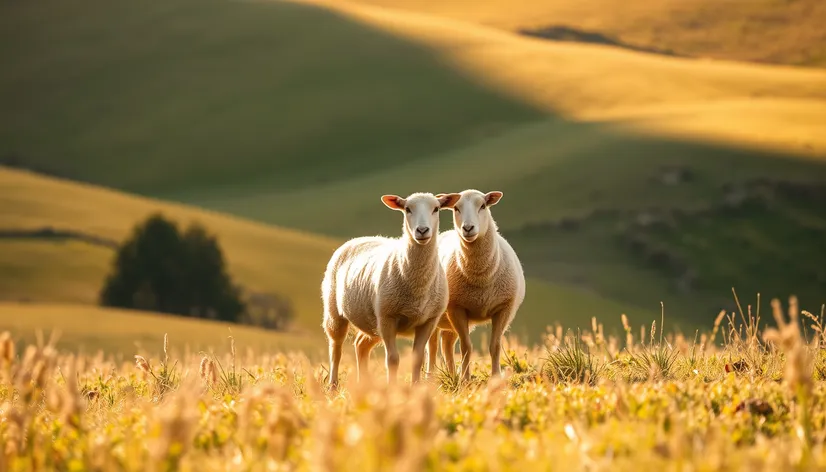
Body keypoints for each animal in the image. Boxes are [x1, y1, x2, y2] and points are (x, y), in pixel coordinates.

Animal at [322, 192, 464, 388]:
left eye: (436, 209)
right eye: (407, 209)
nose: (422, 230)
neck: (417, 286)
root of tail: (357, 239)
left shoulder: (428, 321)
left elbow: (417, 359)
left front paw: (416, 388)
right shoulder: (388, 318)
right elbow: (393, 359)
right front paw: (392, 388)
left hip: (372, 320)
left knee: (360, 345)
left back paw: (363, 384)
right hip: (335, 312)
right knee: (335, 349)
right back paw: (333, 387)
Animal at [422, 190, 524, 382]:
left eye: (482, 205)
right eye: (456, 208)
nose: (468, 228)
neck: (481, 277)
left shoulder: (504, 308)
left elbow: (495, 346)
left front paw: (495, 377)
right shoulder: (457, 309)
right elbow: (466, 347)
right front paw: (466, 379)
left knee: (446, 343)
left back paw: (452, 375)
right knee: (432, 345)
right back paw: (431, 377)